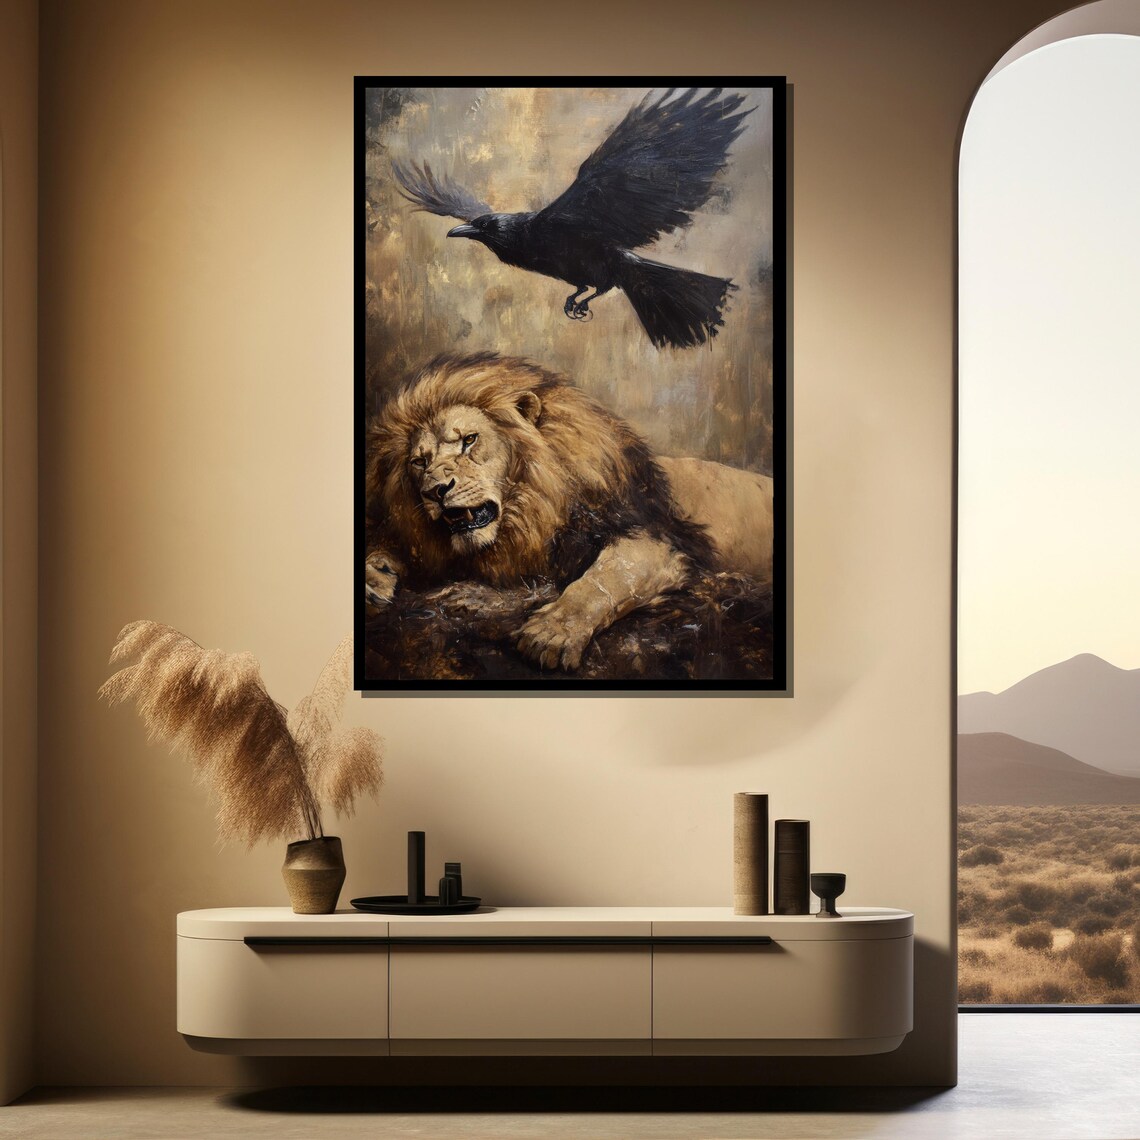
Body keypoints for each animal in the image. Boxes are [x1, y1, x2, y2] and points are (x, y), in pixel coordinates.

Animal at [364, 353, 773, 672]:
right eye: (419, 461)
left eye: (469, 440)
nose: (434, 491)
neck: (532, 509)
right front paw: (375, 575)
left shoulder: (664, 539)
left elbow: (603, 579)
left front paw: (552, 632)